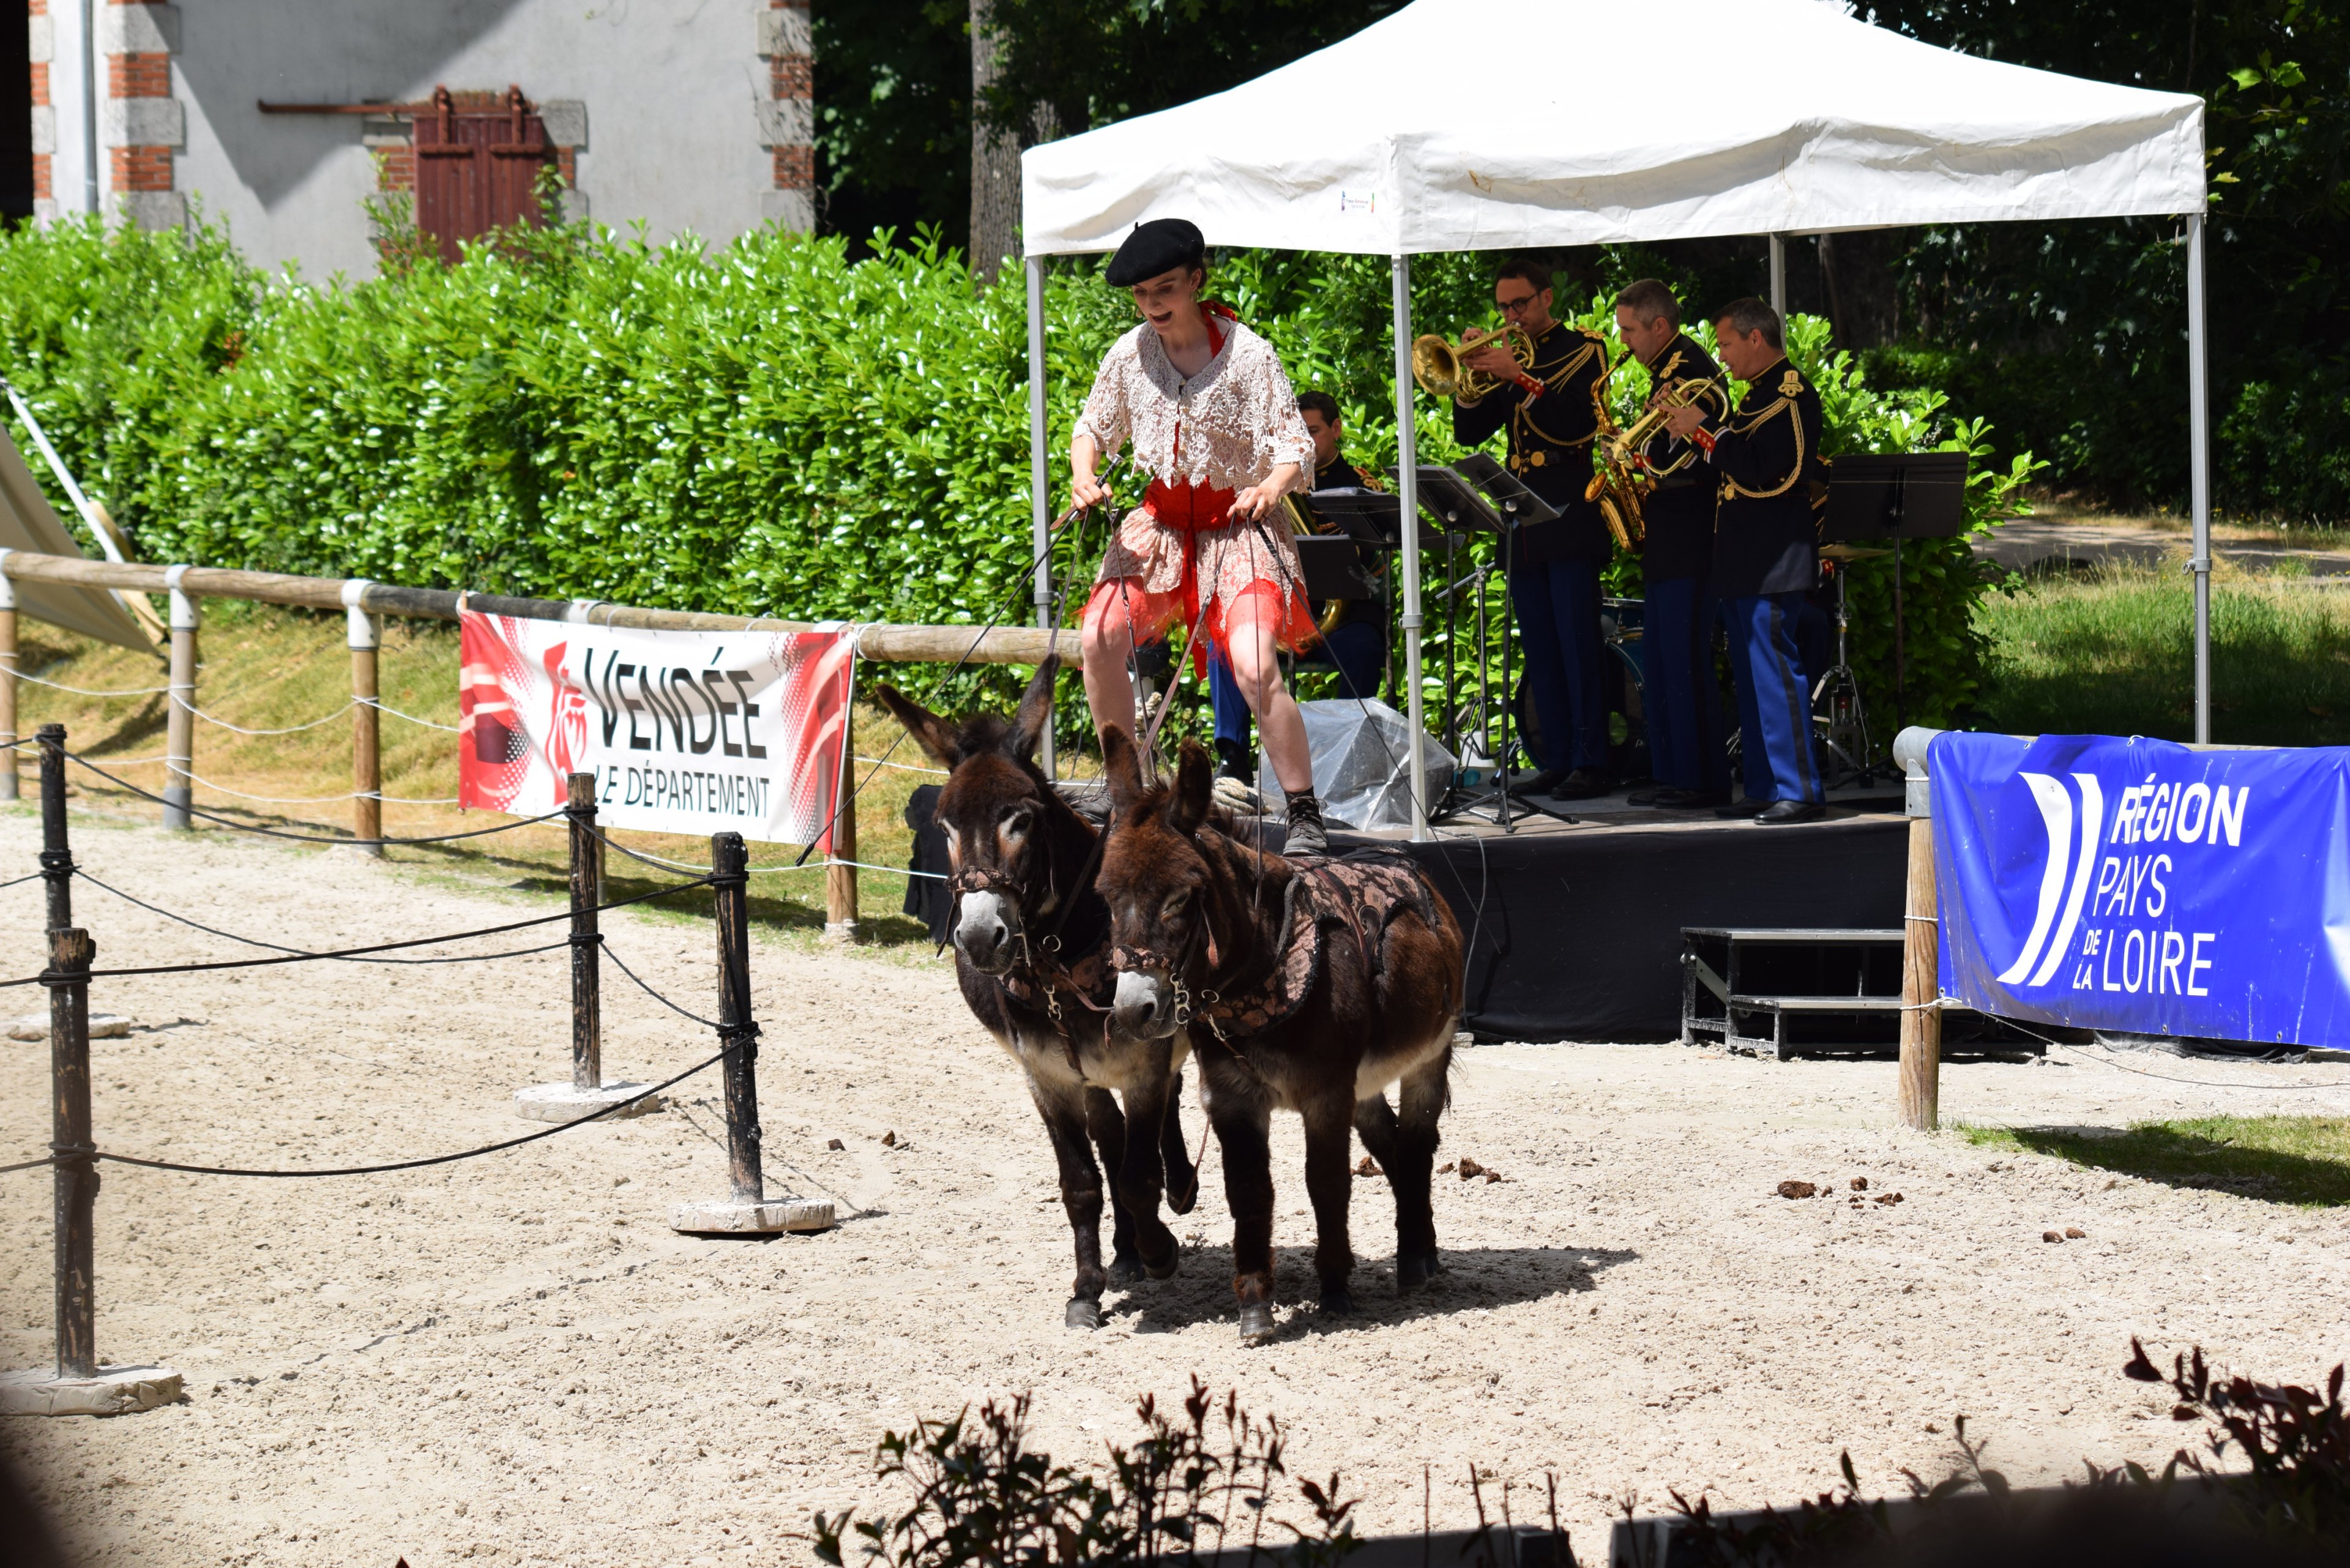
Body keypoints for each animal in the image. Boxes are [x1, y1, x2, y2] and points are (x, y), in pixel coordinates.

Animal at [873, 659, 1198, 1330]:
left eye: (1020, 818)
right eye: (944, 825)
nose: (979, 937)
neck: (1061, 963)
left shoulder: (1142, 1068)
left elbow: (1138, 1176)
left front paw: (1160, 1250)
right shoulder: (1047, 1077)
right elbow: (1081, 1183)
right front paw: (1087, 1288)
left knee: (1163, 1119)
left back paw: (1177, 1192)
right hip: (1086, 1074)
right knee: (1110, 1139)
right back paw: (1125, 1252)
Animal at [1094, 729, 1466, 1343]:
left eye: (1180, 897)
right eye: (1105, 895)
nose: (1133, 1010)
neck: (1266, 965)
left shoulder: (1326, 1093)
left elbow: (1327, 1184)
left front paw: (1335, 1289)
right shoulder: (1232, 1097)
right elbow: (1249, 1191)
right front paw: (1255, 1306)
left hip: (1427, 1058)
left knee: (1416, 1146)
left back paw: (1414, 1258)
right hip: (1365, 1083)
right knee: (1392, 1147)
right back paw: (1426, 1249)